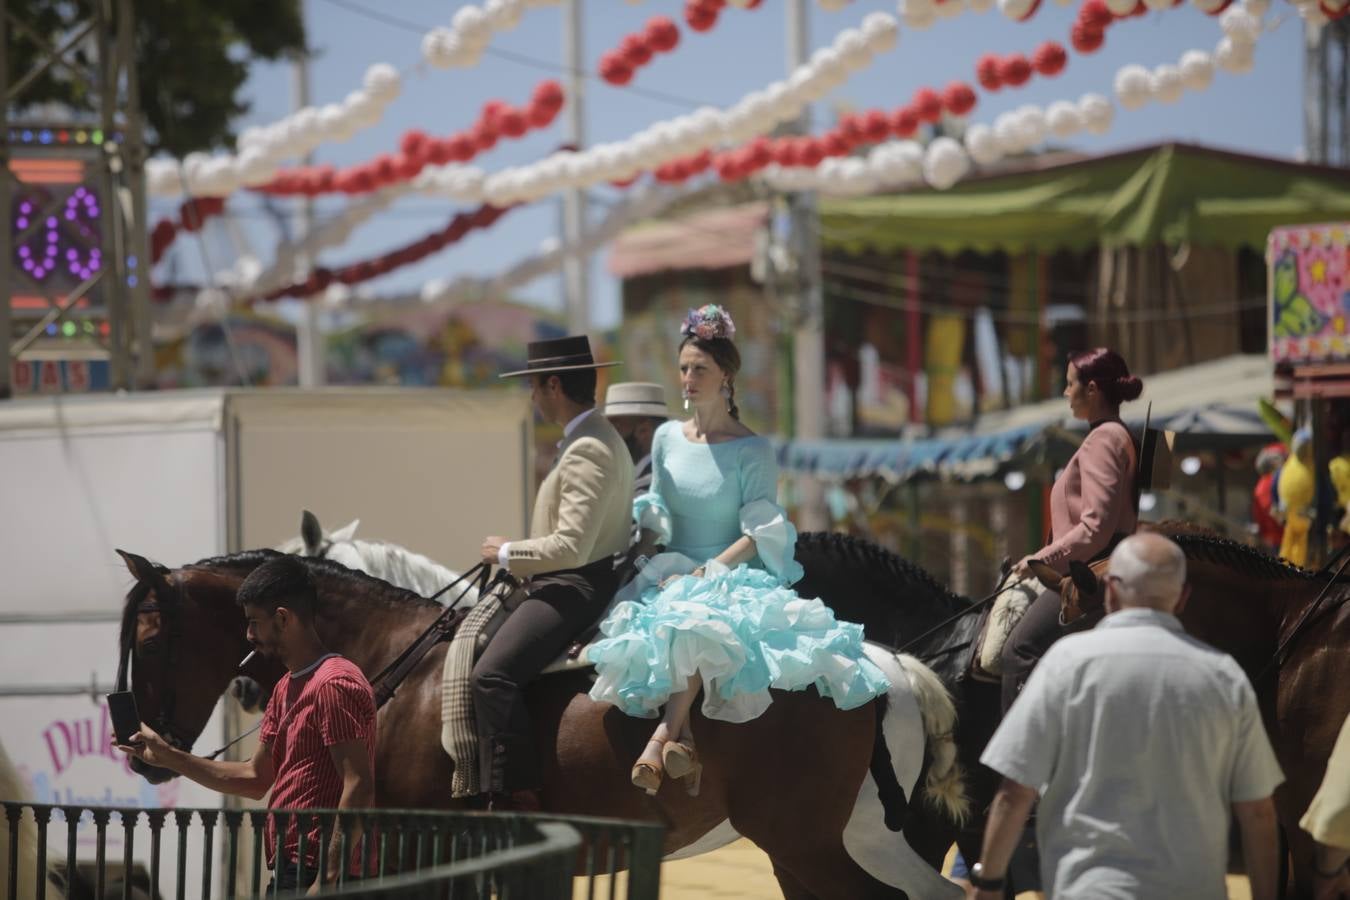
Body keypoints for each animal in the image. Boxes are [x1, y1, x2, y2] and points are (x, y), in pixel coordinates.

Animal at [110, 550, 966, 900]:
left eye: (147, 641)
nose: (141, 749)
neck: (397, 665)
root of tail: (877, 662)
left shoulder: (413, 844)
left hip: (805, 843)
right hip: (852, 837)